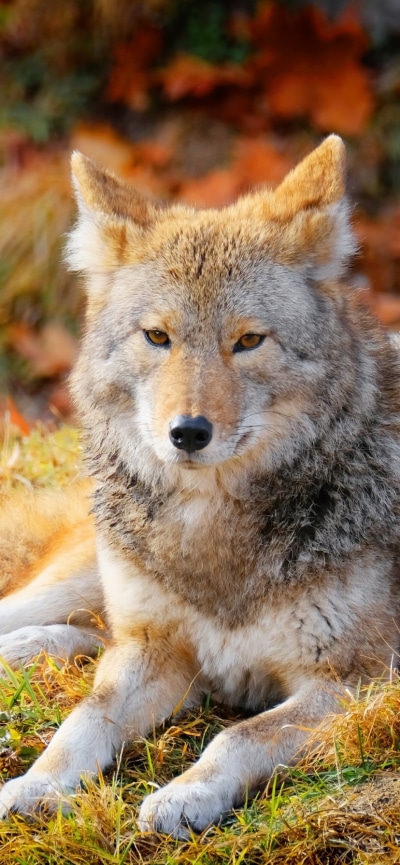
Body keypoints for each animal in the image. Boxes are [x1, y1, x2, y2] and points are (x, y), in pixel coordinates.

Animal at [0, 135, 399, 838]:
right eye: (158, 336)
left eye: (249, 340)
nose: (188, 432)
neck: (212, 531)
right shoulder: (155, 652)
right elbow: (85, 719)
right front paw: (37, 784)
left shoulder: (359, 680)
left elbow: (239, 736)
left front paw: (186, 794)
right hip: (82, 576)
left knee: (93, 637)